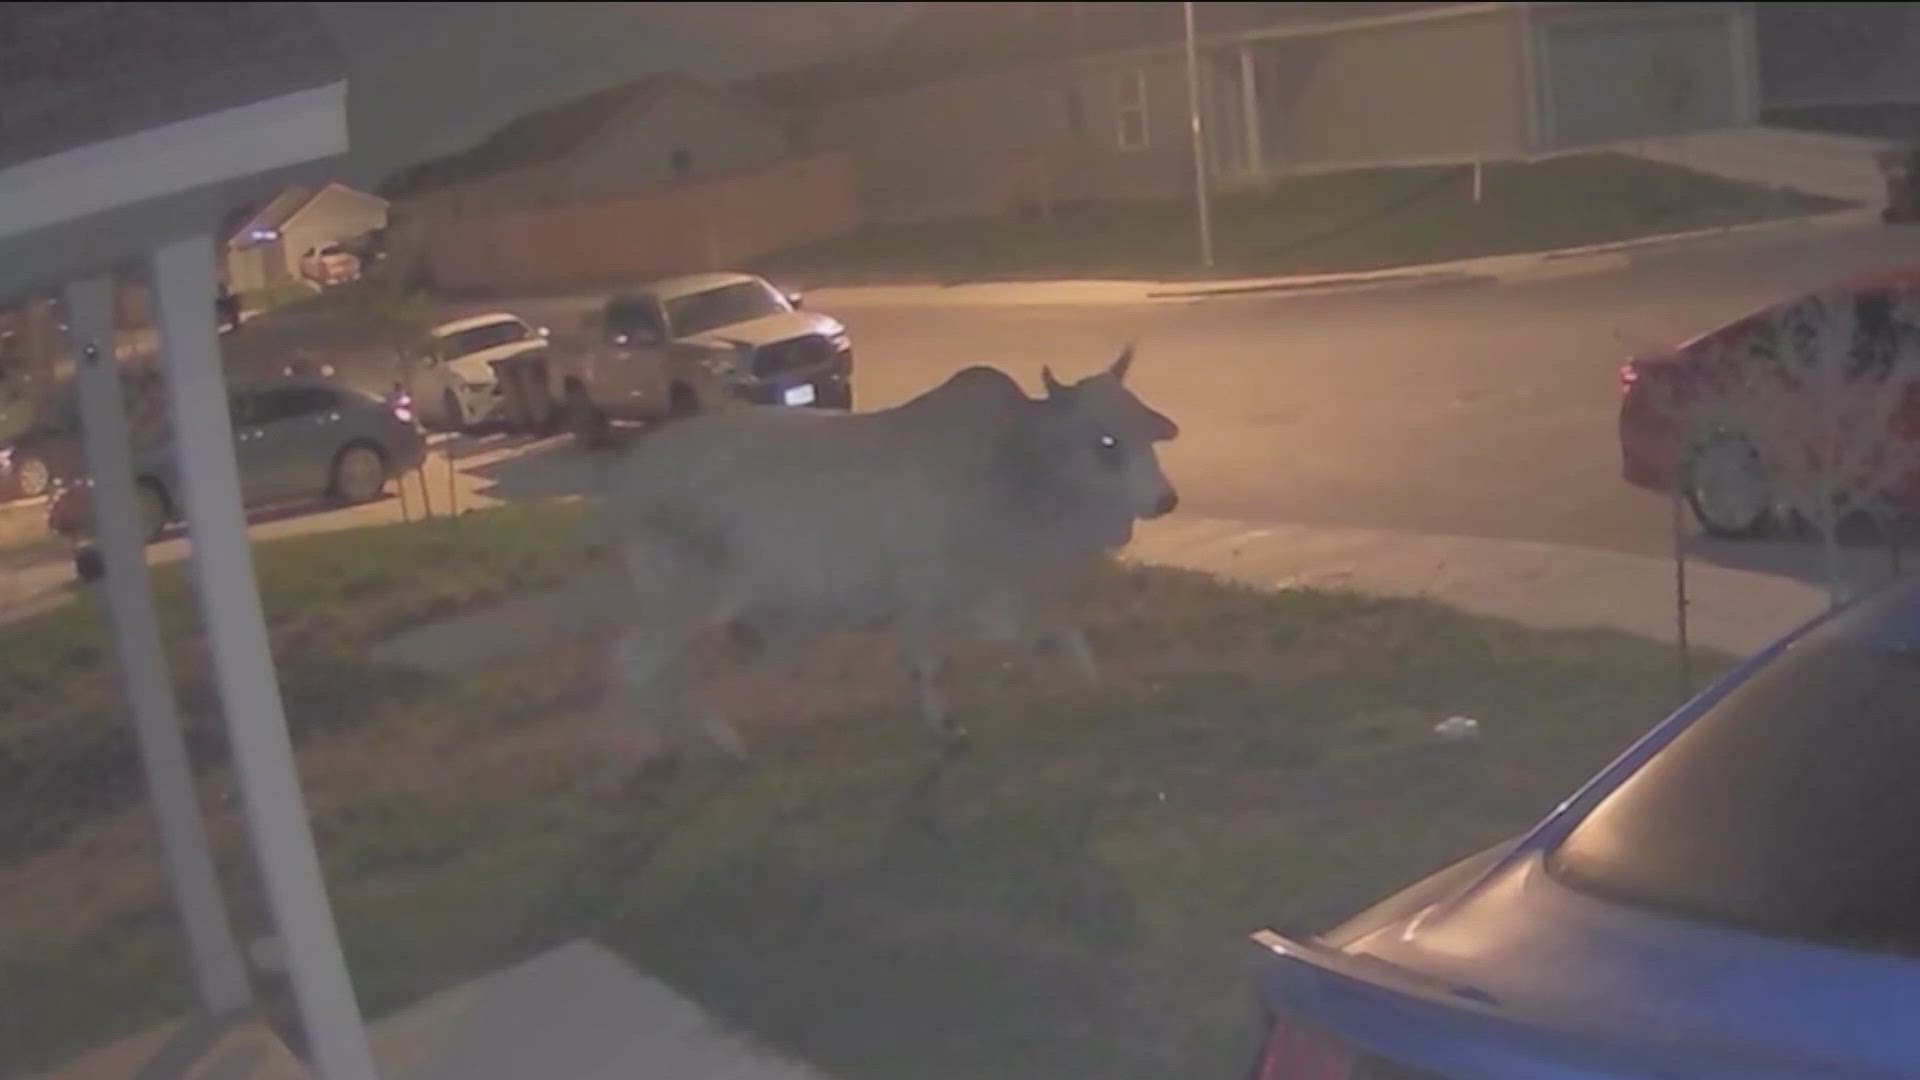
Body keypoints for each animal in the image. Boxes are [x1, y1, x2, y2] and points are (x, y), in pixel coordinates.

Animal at [599, 338, 1175, 757]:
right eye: (1107, 442)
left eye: (1145, 431)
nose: (1166, 500)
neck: (1016, 466)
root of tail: (631, 474)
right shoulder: (933, 594)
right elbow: (935, 664)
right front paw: (947, 729)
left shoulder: (987, 596)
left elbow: (1057, 636)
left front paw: (1090, 687)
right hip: (682, 599)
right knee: (636, 661)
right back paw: (669, 745)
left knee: (666, 667)